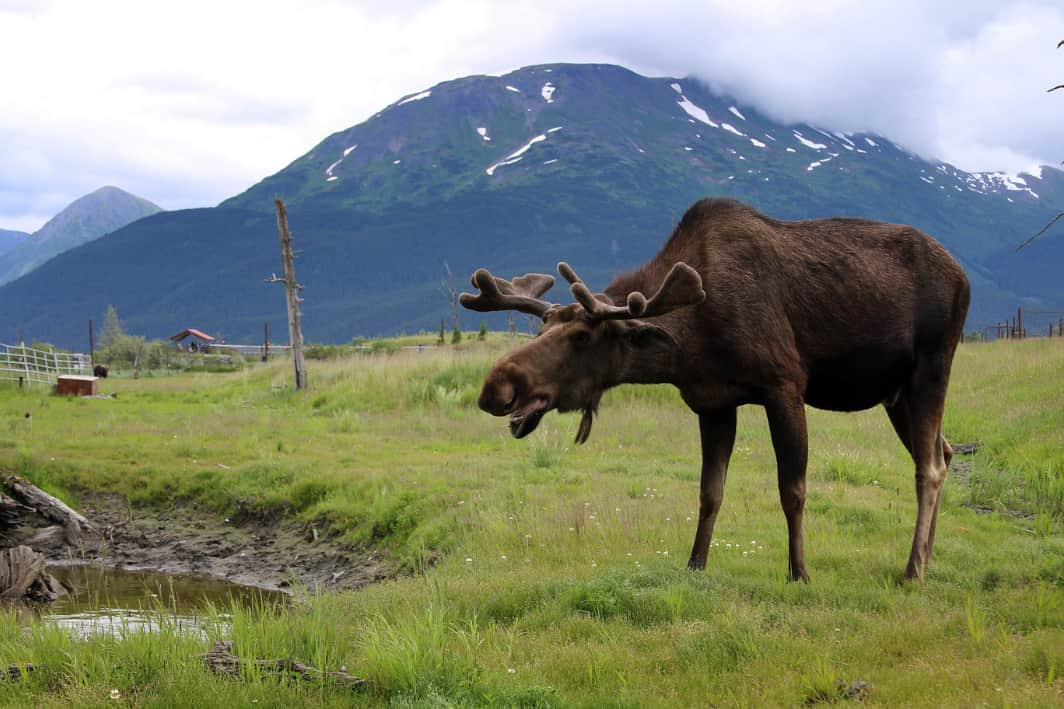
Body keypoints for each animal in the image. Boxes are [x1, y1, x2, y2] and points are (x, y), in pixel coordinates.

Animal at [461, 194, 970, 579]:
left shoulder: (784, 385)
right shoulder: (712, 402)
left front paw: (799, 572)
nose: (497, 386)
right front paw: (695, 564)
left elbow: (793, 490)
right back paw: (928, 556)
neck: (690, 340)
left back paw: (912, 570)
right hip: (895, 394)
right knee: (943, 451)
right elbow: (710, 492)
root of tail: (964, 278)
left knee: (929, 467)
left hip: (932, 368)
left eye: (583, 336)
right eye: (543, 325)